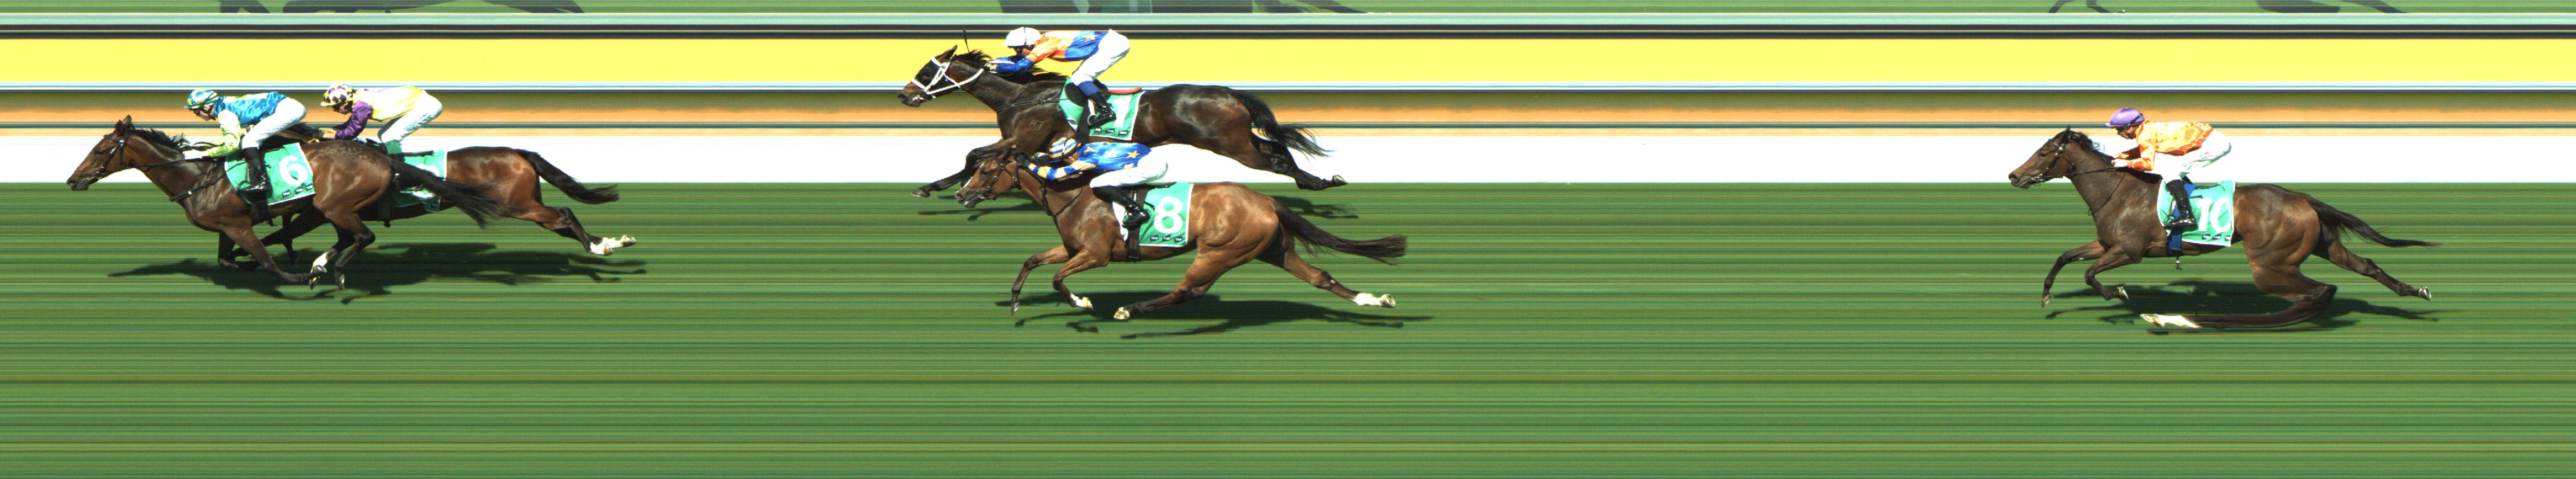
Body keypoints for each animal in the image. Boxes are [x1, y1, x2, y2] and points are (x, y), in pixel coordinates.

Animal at [65, 116, 511, 289]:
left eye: (101, 149)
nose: (73, 180)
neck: (196, 180)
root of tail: (384, 158)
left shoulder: (240, 226)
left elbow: (266, 261)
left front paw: (299, 275)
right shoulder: (227, 227)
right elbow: (228, 260)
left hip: (335, 207)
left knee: (363, 237)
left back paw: (332, 270)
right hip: (326, 210)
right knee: (351, 238)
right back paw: (327, 264)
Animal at [231, 127, 634, 262]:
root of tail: (518, 152)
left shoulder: (319, 211)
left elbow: (282, 232)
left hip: (517, 206)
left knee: (564, 215)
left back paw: (600, 247)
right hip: (527, 205)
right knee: (562, 222)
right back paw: (610, 241)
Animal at [897, 47, 1345, 203]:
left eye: (927, 71)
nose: (905, 95)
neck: (1021, 96)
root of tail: (1230, 93)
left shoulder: (1024, 136)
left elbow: (973, 153)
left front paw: (934, 187)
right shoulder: (1026, 141)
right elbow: (977, 157)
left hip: (1230, 144)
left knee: (1277, 159)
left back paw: (1318, 183)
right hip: (1237, 141)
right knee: (1278, 150)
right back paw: (1319, 181)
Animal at [959, 149, 1405, 325]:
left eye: (987, 171)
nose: (962, 195)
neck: (1074, 196)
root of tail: (1266, 200)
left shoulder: (1096, 254)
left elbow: (1056, 279)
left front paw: (1083, 303)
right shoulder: (1072, 248)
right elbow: (1033, 261)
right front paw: (1015, 303)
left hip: (1219, 252)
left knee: (1187, 291)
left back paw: (1130, 310)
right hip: (1273, 249)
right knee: (1320, 278)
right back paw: (1374, 300)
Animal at [2007, 129, 2436, 329]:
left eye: (2043, 154)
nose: (2013, 175)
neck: (2118, 190)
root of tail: (2303, 198)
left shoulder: (2128, 251)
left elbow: (2091, 275)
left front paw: (2118, 293)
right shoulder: (2104, 244)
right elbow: (2065, 258)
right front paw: (2046, 297)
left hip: (2270, 265)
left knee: (2320, 291)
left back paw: (2198, 320)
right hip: (2321, 246)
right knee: (2365, 267)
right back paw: (2415, 290)